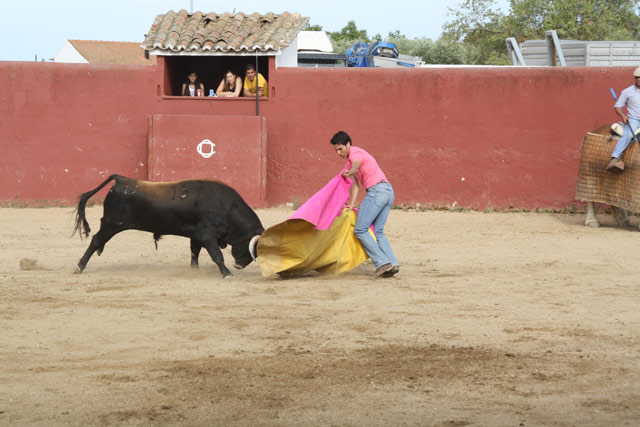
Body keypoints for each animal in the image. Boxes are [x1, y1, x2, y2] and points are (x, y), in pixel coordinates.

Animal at [74, 176, 264, 280]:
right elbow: (217, 255)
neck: (228, 208)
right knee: (96, 239)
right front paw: (227, 273)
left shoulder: (196, 235)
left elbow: (194, 252)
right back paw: (79, 266)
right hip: (112, 223)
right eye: (253, 248)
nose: (239, 265)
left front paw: (194, 270)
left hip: (110, 224)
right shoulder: (207, 235)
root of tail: (120, 179)